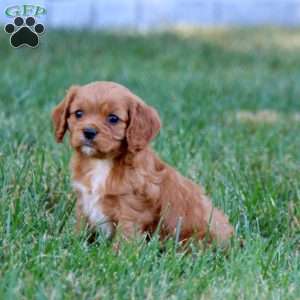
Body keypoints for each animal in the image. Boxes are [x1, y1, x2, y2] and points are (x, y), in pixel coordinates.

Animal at [52, 81, 234, 244]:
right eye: (78, 114)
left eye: (113, 118)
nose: (89, 131)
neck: (101, 162)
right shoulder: (83, 203)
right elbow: (80, 228)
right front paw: (72, 243)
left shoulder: (131, 211)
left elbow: (124, 240)